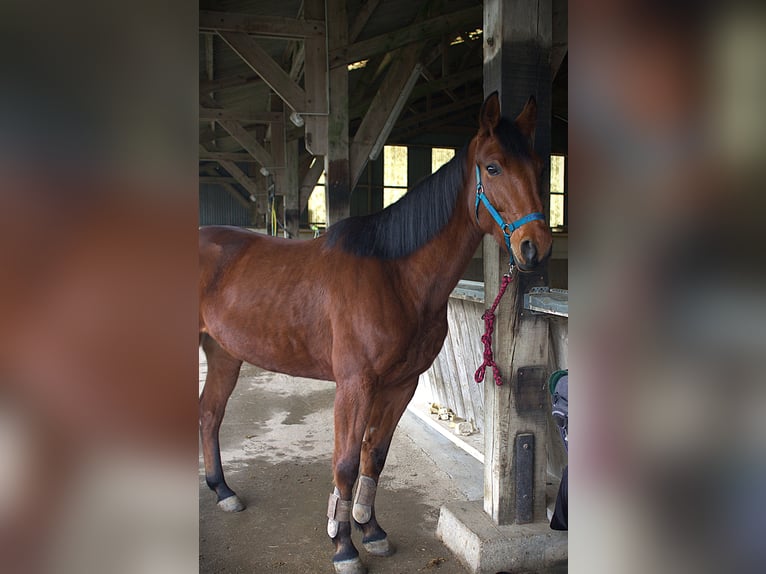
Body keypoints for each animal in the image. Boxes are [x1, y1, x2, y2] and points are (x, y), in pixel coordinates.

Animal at [198, 92, 552, 572]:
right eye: (493, 167)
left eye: (537, 167)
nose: (536, 247)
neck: (395, 274)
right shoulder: (355, 385)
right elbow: (346, 463)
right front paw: (343, 546)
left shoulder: (401, 384)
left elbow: (374, 456)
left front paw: (371, 530)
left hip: (223, 354)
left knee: (210, 414)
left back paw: (223, 490)